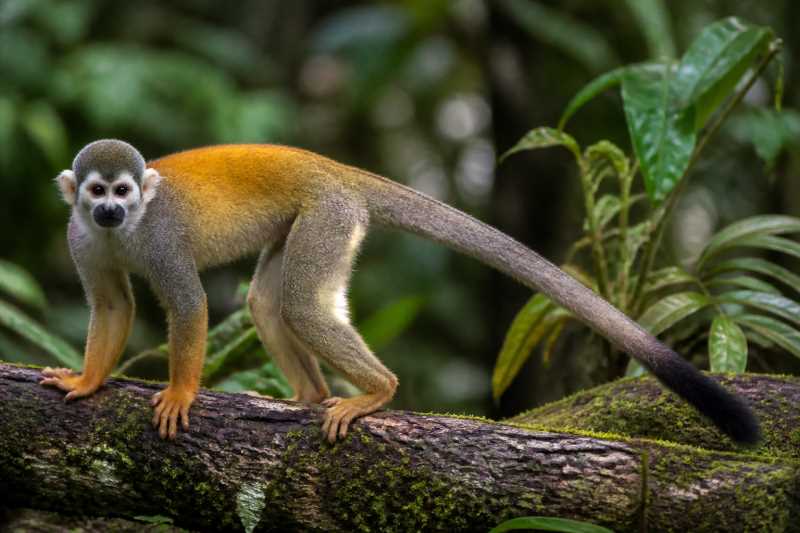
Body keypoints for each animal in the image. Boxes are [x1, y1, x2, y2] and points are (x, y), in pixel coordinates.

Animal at [41, 139, 760, 445]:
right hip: (319, 222)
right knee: (272, 304)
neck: (125, 229)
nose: (110, 210)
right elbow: (113, 305)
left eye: (124, 191)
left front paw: (181, 393)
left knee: (298, 303)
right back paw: (311, 396)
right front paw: (87, 380)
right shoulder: (78, 235)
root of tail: (335, 168)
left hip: (327, 214)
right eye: (97, 192)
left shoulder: (160, 235)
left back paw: (377, 392)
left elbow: (189, 305)